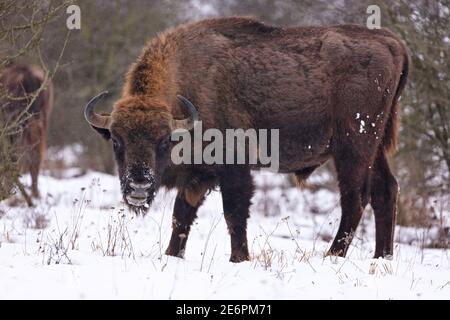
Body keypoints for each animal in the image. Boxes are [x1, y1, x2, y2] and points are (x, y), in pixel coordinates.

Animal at [83, 16, 408, 262]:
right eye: (117, 141)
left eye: (165, 141)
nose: (139, 186)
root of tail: (391, 42)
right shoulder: (198, 177)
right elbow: (182, 215)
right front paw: (172, 255)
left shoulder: (234, 168)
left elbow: (234, 214)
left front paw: (239, 259)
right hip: (374, 148)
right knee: (385, 191)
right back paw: (382, 257)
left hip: (354, 147)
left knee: (355, 198)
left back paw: (332, 256)